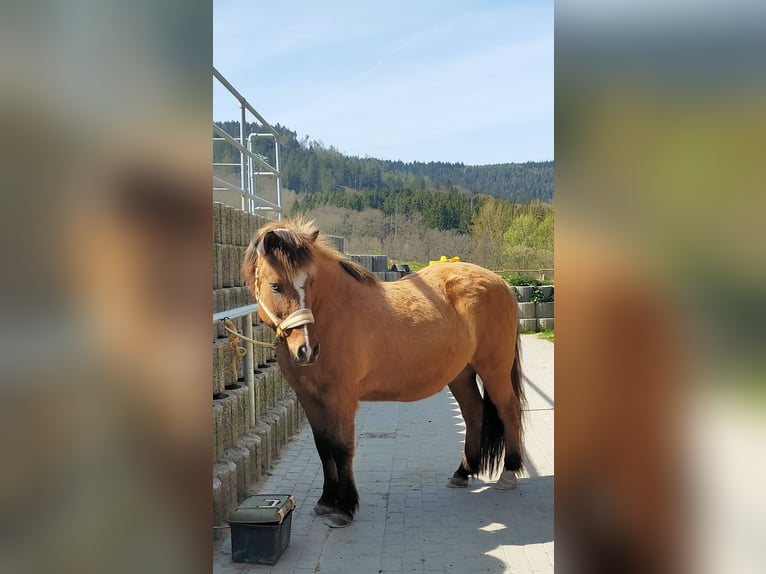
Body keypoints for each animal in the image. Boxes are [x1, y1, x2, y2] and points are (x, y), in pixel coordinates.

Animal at [243, 219, 525, 528]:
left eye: (312, 282)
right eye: (276, 285)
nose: (306, 350)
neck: (334, 313)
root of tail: (500, 283)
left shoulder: (341, 398)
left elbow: (342, 447)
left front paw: (344, 507)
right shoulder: (309, 398)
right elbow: (323, 446)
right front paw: (326, 501)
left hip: (494, 370)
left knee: (508, 411)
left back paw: (509, 473)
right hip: (461, 374)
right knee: (474, 413)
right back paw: (463, 472)